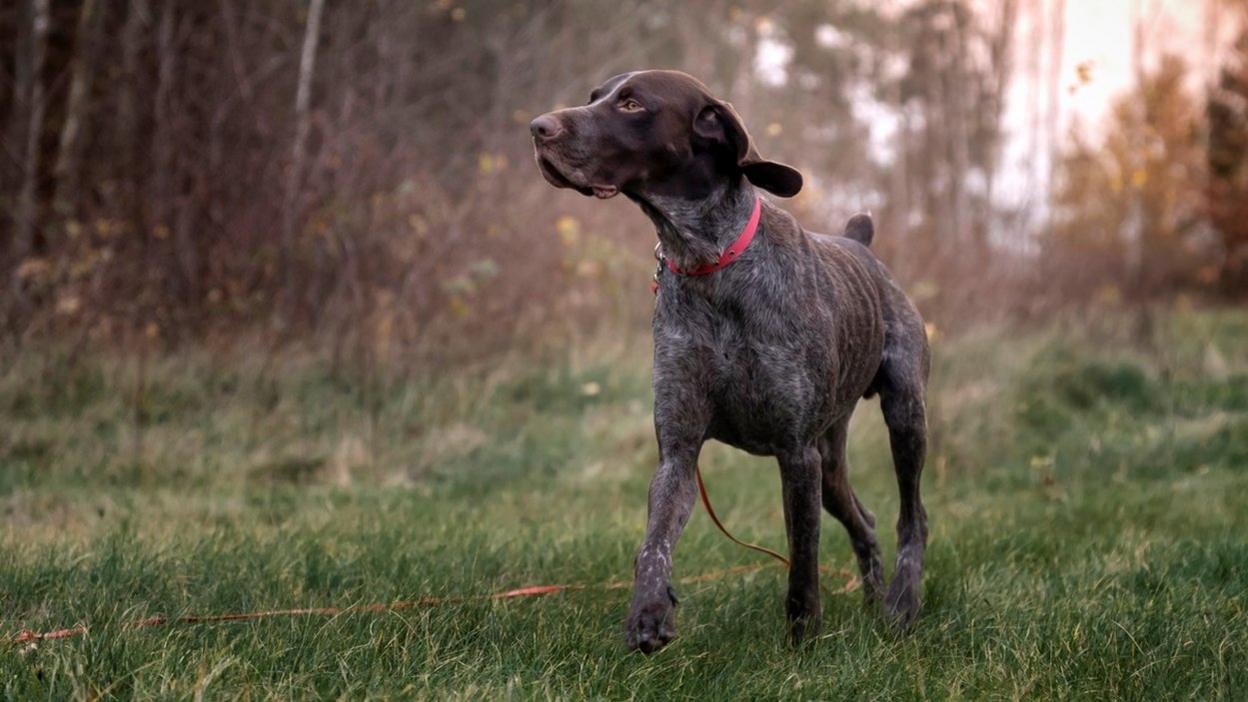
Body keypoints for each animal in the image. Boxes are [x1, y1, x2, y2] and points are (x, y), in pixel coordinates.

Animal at [526, 69, 928, 649]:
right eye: (594, 97)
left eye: (631, 104)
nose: (537, 127)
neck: (708, 263)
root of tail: (862, 246)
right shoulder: (679, 449)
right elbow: (653, 545)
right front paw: (649, 613)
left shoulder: (795, 453)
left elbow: (802, 562)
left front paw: (803, 642)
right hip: (830, 458)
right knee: (866, 520)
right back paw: (874, 599)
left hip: (904, 417)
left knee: (911, 516)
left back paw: (902, 602)